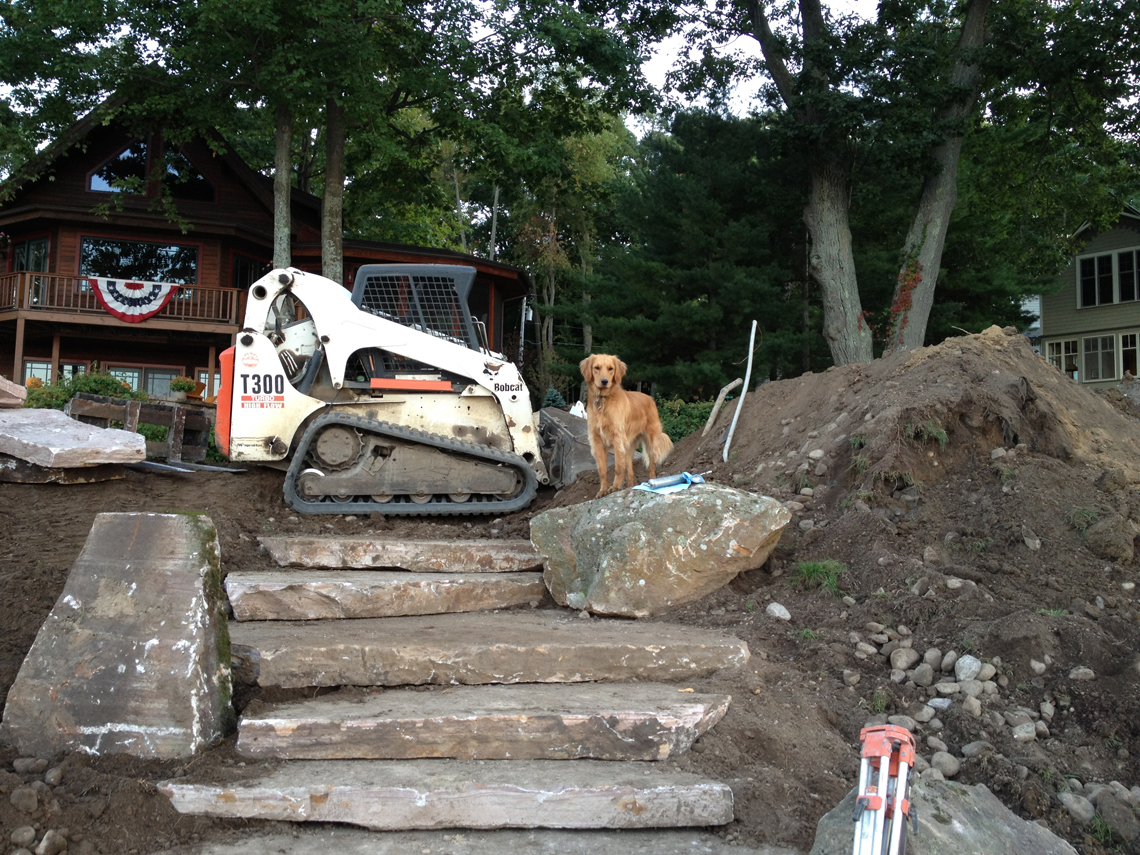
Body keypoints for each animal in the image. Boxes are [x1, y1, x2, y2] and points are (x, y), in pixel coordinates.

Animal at [579, 355, 665, 499]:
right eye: (597, 367)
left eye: (610, 368)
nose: (604, 381)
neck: (603, 400)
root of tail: (650, 398)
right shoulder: (597, 441)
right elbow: (602, 470)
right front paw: (603, 490)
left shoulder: (617, 438)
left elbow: (618, 468)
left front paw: (615, 487)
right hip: (628, 448)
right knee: (630, 472)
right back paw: (630, 486)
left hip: (651, 444)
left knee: (651, 468)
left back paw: (654, 482)